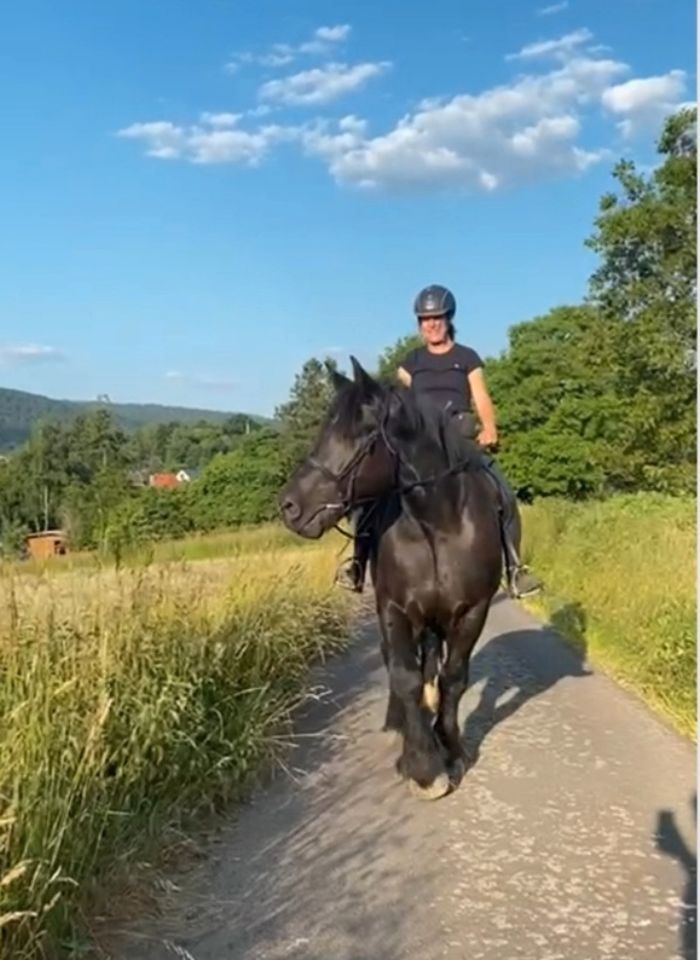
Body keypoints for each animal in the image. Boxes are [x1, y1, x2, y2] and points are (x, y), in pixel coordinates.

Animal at [278, 356, 504, 800]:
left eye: (359, 435)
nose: (290, 507)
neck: (438, 523)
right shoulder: (395, 608)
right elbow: (404, 676)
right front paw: (422, 765)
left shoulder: (473, 610)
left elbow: (453, 678)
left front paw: (452, 750)